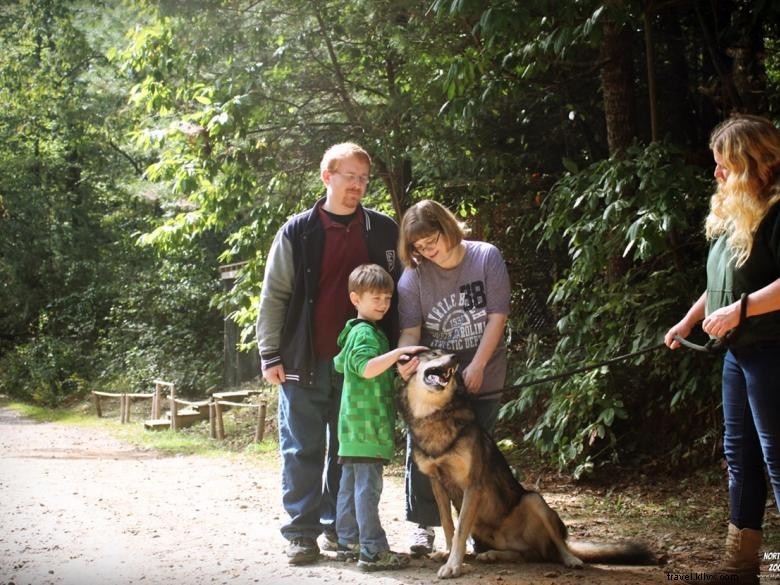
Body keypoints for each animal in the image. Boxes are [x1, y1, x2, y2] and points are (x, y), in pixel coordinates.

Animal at [400, 350, 656, 576]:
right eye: (433, 353)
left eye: (448, 355)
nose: (456, 358)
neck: (434, 415)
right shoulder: (437, 483)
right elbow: (448, 525)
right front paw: (447, 553)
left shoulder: (473, 485)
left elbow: (460, 530)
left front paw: (453, 565)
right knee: (526, 555)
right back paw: (492, 555)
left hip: (534, 500)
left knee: (559, 546)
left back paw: (571, 559)